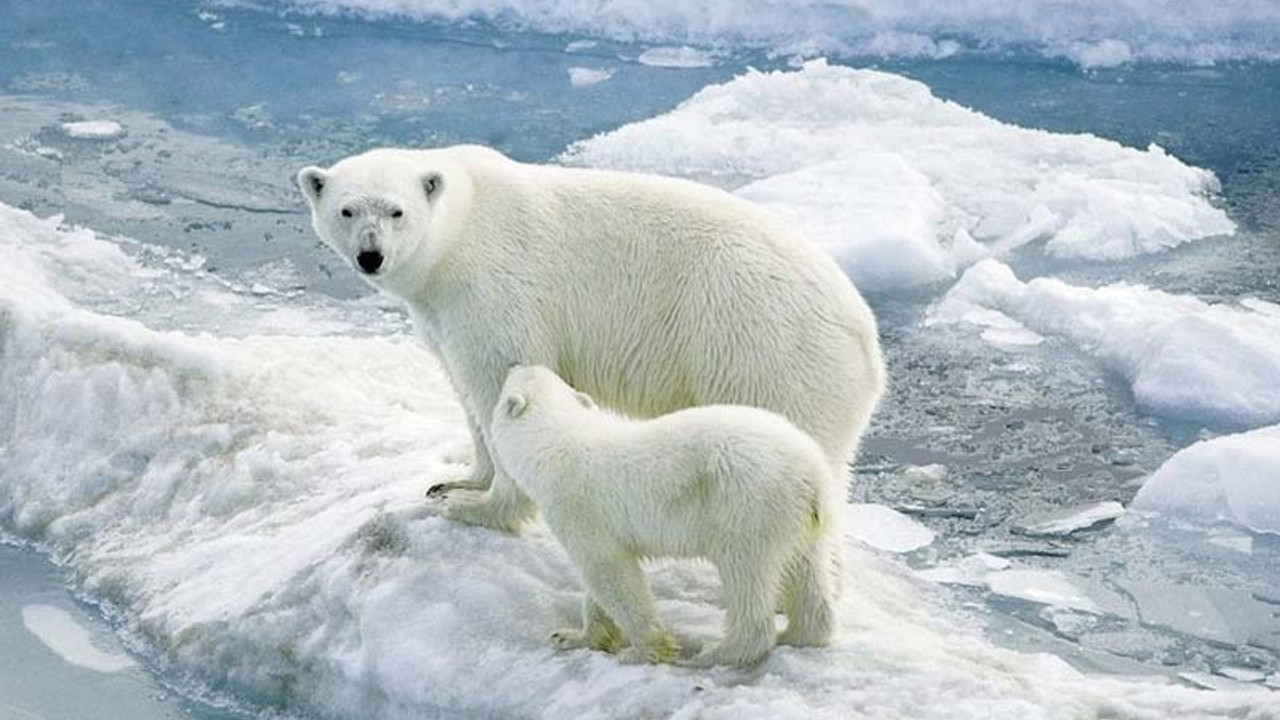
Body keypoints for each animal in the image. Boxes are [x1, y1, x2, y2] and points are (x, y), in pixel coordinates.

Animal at [298, 142, 885, 532]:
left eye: (396, 211)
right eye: (347, 209)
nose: (370, 255)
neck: (460, 230)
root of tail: (867, 342)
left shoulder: (495, 287)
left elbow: (499, 378)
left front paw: (480, 508)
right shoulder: (440, 311)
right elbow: (464, 389)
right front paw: (457, 481)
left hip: (764, 350)